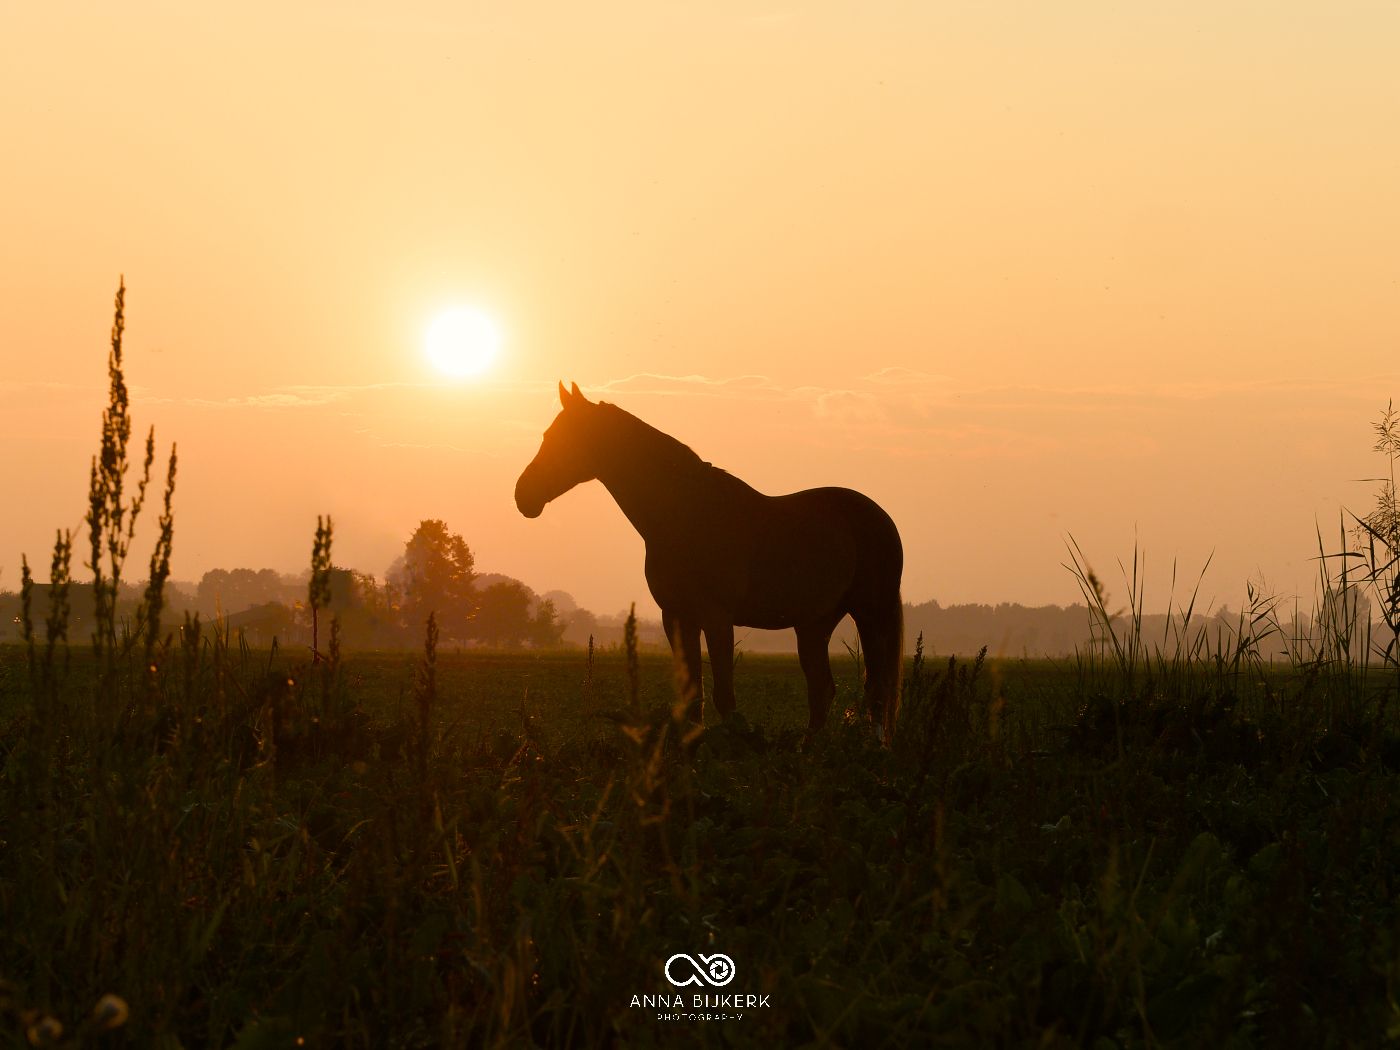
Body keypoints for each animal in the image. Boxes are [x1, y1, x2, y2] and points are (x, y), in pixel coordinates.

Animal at [515, 382, 905, 743]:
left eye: (563, 437)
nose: (523, 495)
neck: (688, 514)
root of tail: (880, 517)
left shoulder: (717, 618)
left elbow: (723, 694)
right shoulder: (676, 616)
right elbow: (692, 695)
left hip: (870, 613)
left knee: (876, 687)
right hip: (814, 623)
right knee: (822, 688)